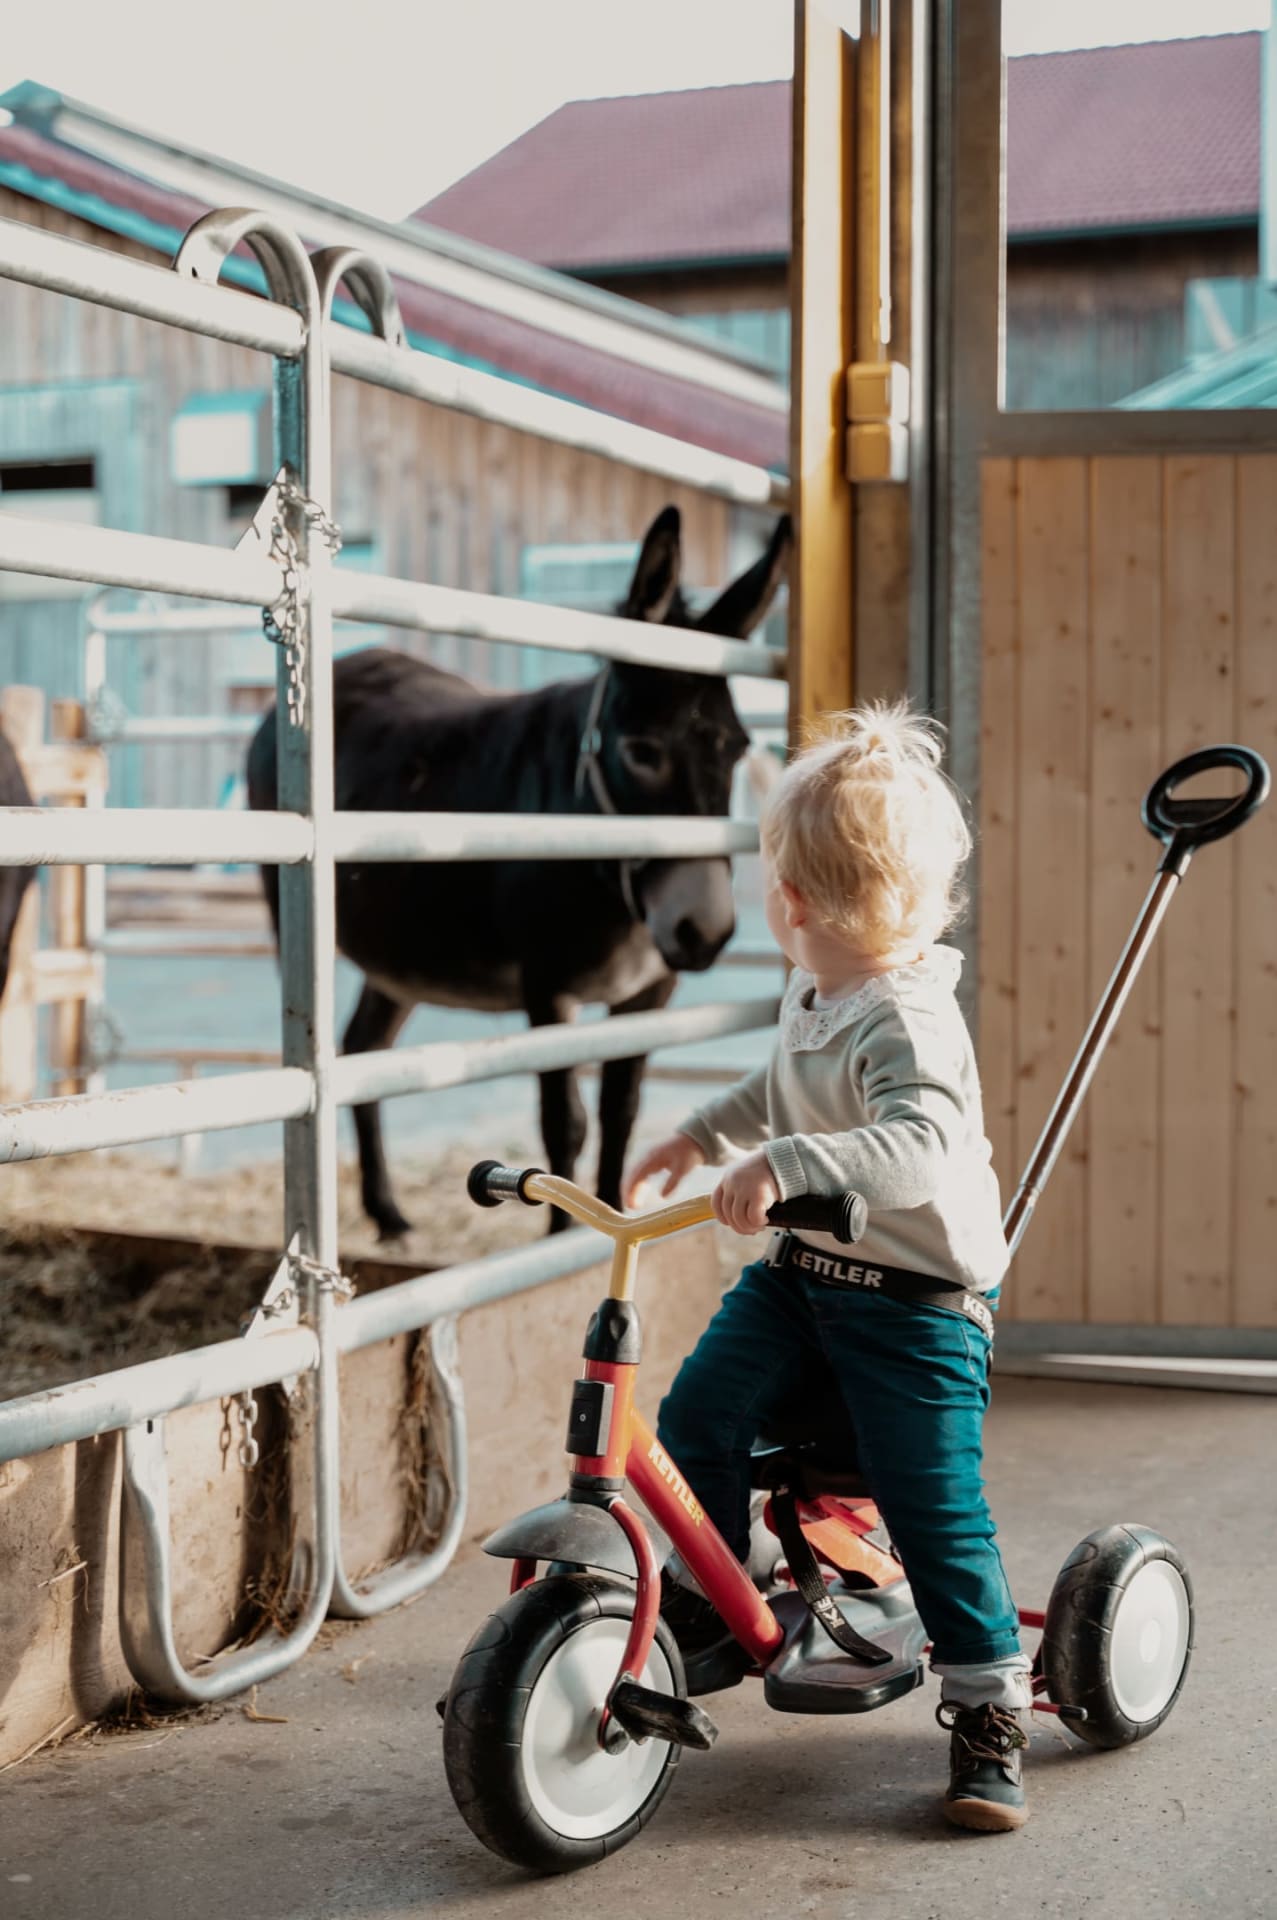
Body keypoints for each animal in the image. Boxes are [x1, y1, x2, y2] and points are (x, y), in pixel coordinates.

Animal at [247, 504, 790, 1238]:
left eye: (735, 748)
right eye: (641, 751)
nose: (703, 933)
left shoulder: (648, 994)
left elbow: (621, 1112)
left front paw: (610, 1215)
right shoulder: (547, 987)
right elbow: (565, 1124)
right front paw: (563, 1236)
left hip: (400, 958)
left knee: (363, 1048)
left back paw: (387, 1213)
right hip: (296, 920)